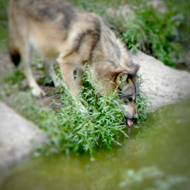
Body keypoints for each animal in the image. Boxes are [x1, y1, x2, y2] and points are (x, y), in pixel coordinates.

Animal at [8, 0, 140, 125]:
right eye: (129, 99)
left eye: (135, 98)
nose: (136, 117)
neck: (94, 46)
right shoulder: (65, 62)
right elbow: (73, 90)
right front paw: (80, 107)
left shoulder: (83, 64)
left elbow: (78, 82)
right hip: (28, 47)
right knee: (26, 68)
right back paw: (36, 89)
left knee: (46, 65)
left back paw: (58, 83)